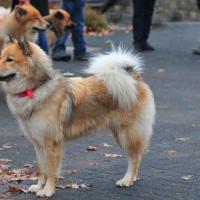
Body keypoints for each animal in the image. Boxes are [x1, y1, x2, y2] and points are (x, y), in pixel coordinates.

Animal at [0, 36, 156, 198]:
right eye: (1, 57)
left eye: (10, 60)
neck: (36, 88)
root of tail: (134, 78)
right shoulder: (38, 143)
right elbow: (42, 169)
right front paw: (39, 186)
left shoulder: (51, 142)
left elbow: (50, 170)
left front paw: (48, 190)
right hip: (120, 134)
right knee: (135, 156)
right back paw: (132, 178)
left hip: (126, 133)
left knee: (135, 157)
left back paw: (127, 180)